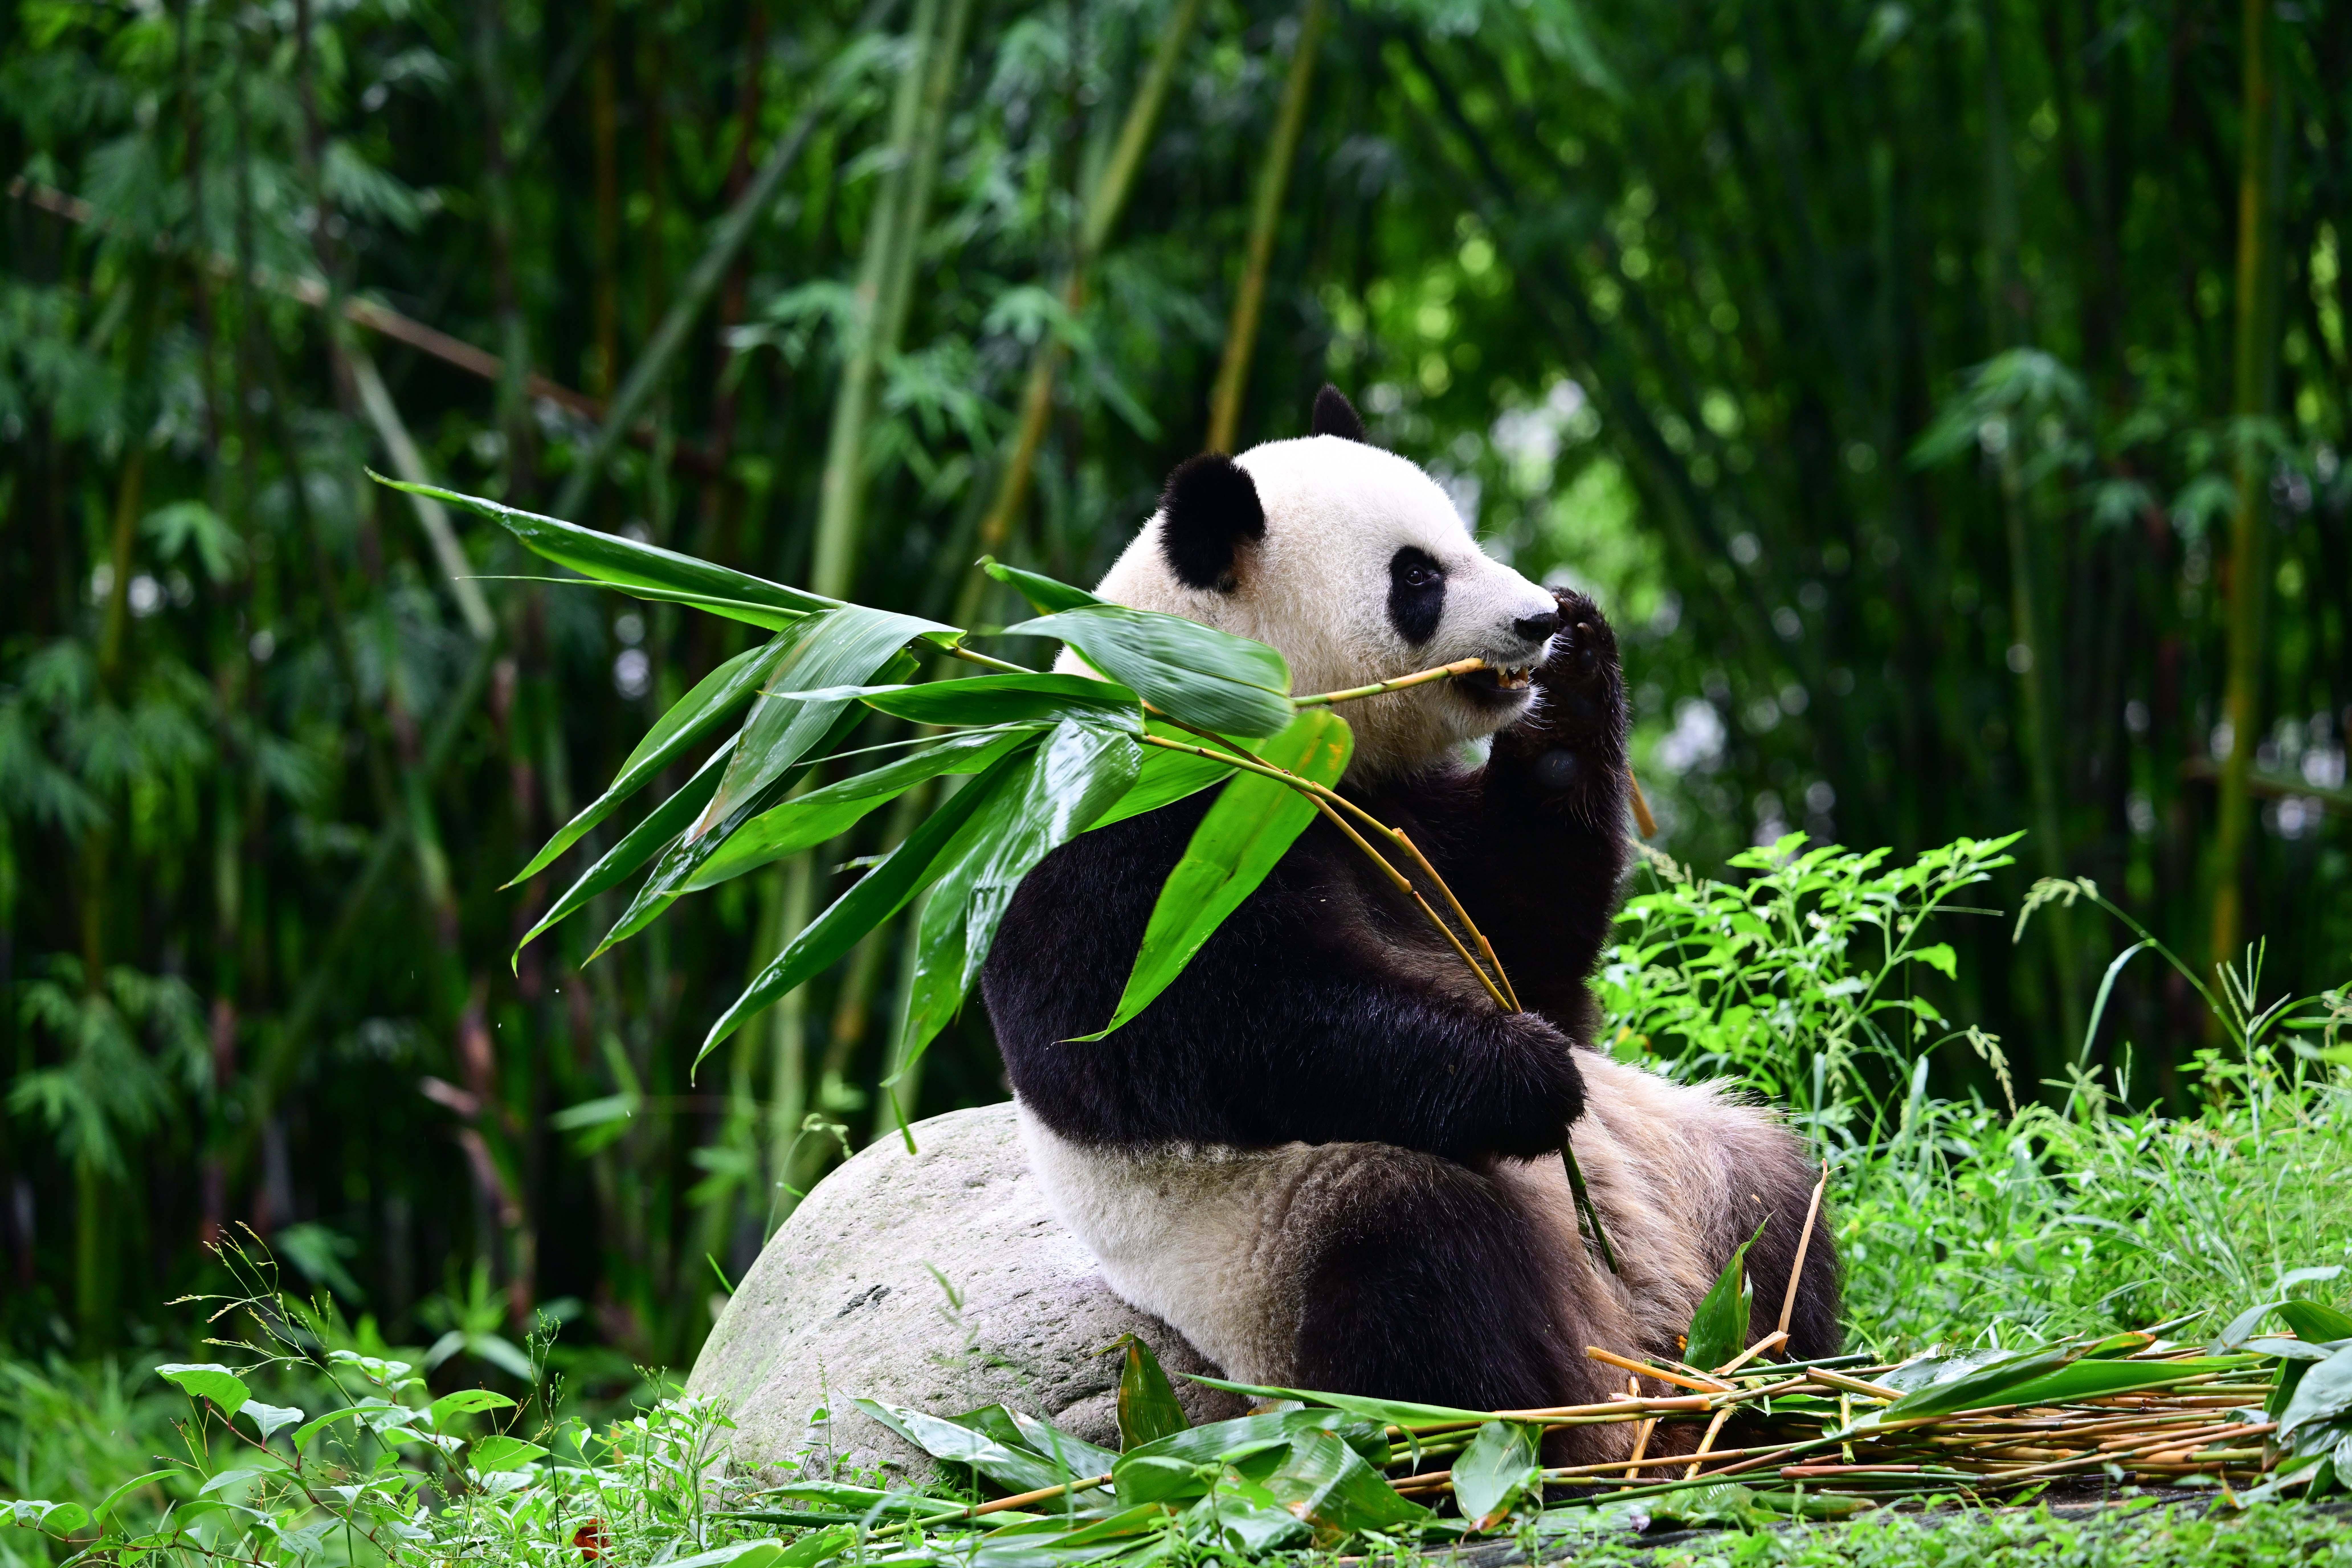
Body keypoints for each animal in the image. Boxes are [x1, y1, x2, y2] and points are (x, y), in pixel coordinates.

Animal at [980, 386, 1836, 1459]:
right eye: (1417, 575)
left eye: (1464, 537)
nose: (1534, 618)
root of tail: (1641, 1343)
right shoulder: (1132, 825)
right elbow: (1199, 1024)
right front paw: (1525, 1070)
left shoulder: (1403, 819)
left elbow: (1528, 920)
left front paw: (1580, 668)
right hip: (1282, 1241)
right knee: (1423, 1273)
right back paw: (1522, 1438)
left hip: (1684, 1157)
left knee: (1775, 1204)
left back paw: (1787, 1386)